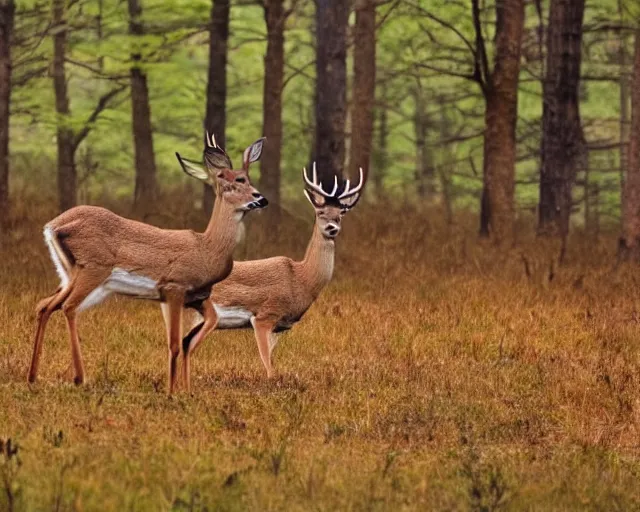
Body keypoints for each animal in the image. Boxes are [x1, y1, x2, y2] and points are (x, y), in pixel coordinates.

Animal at [26, 131, 268, 392]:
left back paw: (33, 376)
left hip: (71, 273)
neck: (208, 249)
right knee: (68, 306)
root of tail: (54, 225)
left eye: (249, 178)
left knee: (45, 305)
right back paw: (79, 377)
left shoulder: (192, 297)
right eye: (233, 179)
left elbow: (198, 331)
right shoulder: (175, 285)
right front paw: (172, 393)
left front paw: (186, 389)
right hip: (93, 268)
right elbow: (174, 343)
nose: (261, 199)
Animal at [175, 161, 364, 388]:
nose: (332, 228)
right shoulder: (266, 315)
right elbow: (268, 367)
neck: (301, 280)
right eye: (319, 212)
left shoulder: (278, 327)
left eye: (341, 213)